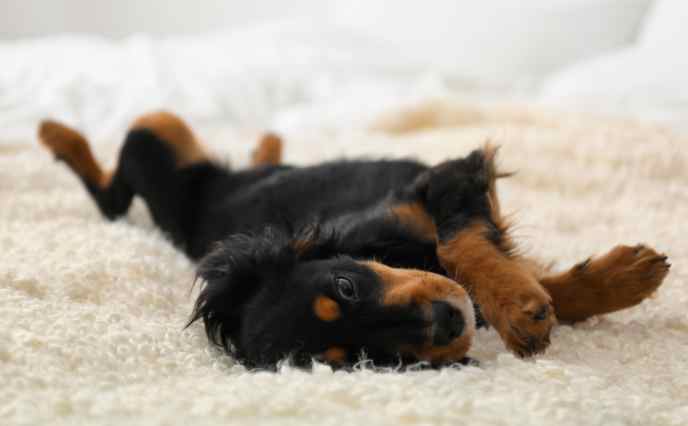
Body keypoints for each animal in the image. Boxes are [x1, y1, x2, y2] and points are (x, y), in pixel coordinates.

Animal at [37, 111, 672, 368]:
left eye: (345, 285)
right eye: (368, 361)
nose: (446, 325)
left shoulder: (449, 179)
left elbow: (460, 247)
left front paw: (524, 308)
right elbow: (493, 268)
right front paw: (612, 281)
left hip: (157, 138)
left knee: (113, 192)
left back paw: (54, 133)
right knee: (112, 201)